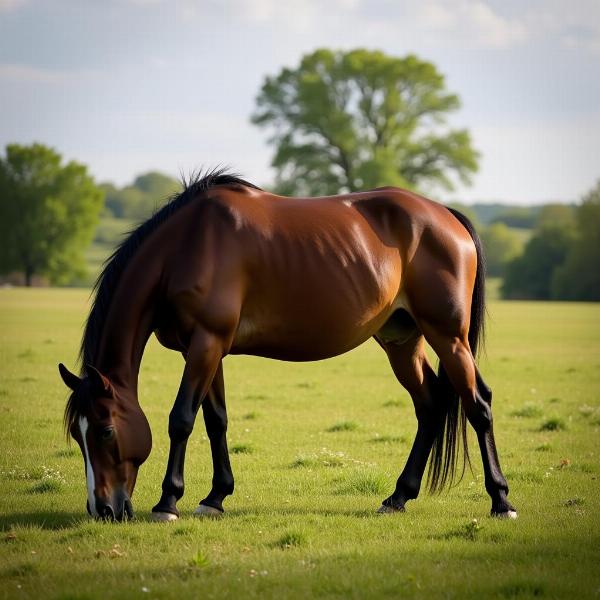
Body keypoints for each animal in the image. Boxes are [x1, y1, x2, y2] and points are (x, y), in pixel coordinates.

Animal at [58, 168, 516, 520]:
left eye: (105, 430)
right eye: (78, 436)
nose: (103, 510)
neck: (188, 246)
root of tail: (447, 216)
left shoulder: (206, 343)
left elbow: (181, 418)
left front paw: (168, 502)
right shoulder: (207, 349)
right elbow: (216, 420)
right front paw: (215, 498)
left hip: (448, 337)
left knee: (478, 405)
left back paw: (501, 501)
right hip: (402, 340)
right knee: (431, 406)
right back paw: (398, 497)